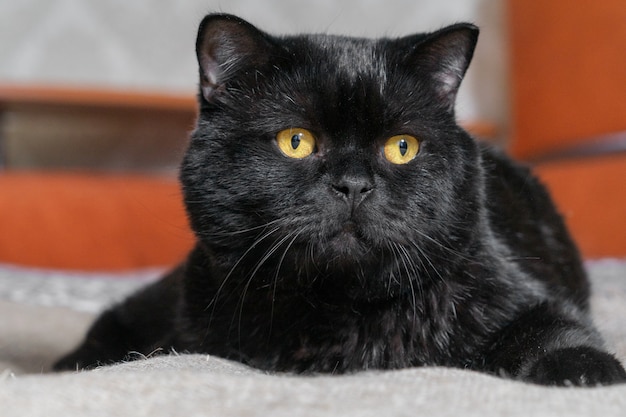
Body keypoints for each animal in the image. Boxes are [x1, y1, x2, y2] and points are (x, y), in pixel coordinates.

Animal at [54, 13, 624, 386]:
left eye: (401, 147)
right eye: (296, 141)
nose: (353, 183)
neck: (338, 312)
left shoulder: (528, 298)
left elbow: (555, 332)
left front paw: (589, 371)